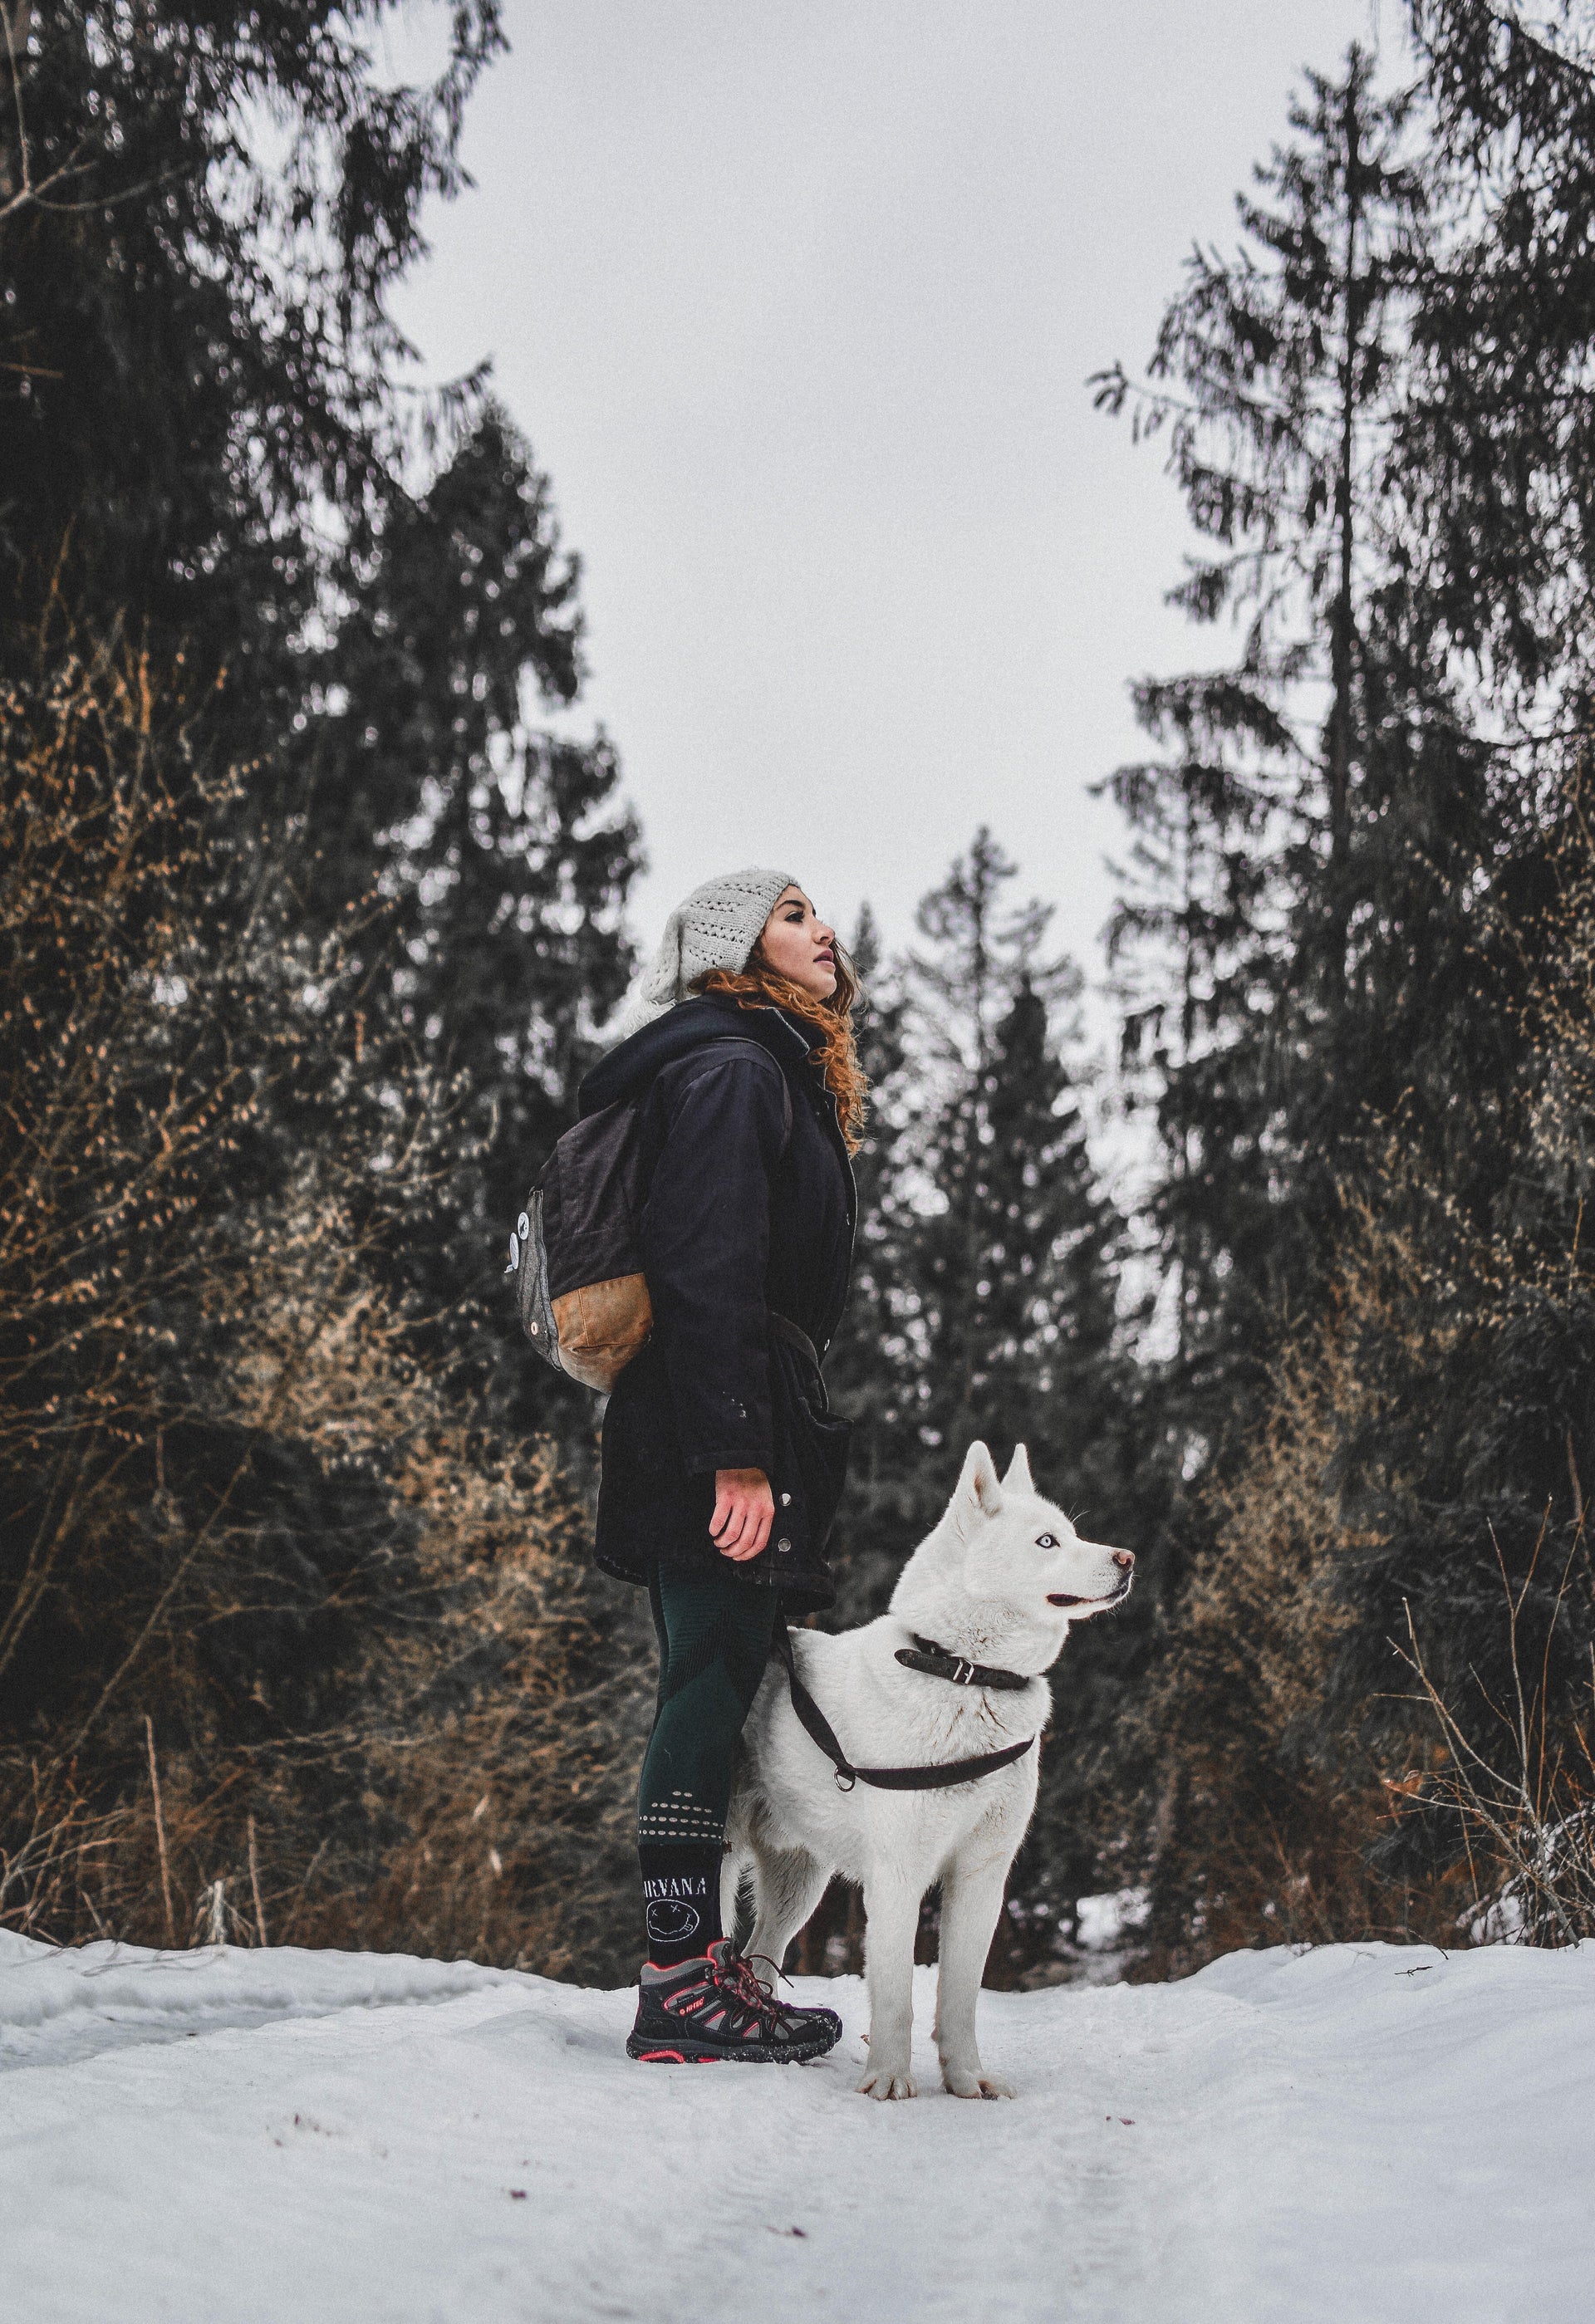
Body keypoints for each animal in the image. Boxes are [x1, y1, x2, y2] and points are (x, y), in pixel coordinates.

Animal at [725, 1440, 1139, 2101]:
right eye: (1047, 1542)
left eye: (1073, 1534)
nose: (1128, 1558)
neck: (965, 1675)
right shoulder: (898, 1876)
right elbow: (897, 1996)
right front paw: (890, 2080)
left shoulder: (981, 1876)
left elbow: (960, 1997)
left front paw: (967, 2079)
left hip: (801, 1882)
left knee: (761, 1951)